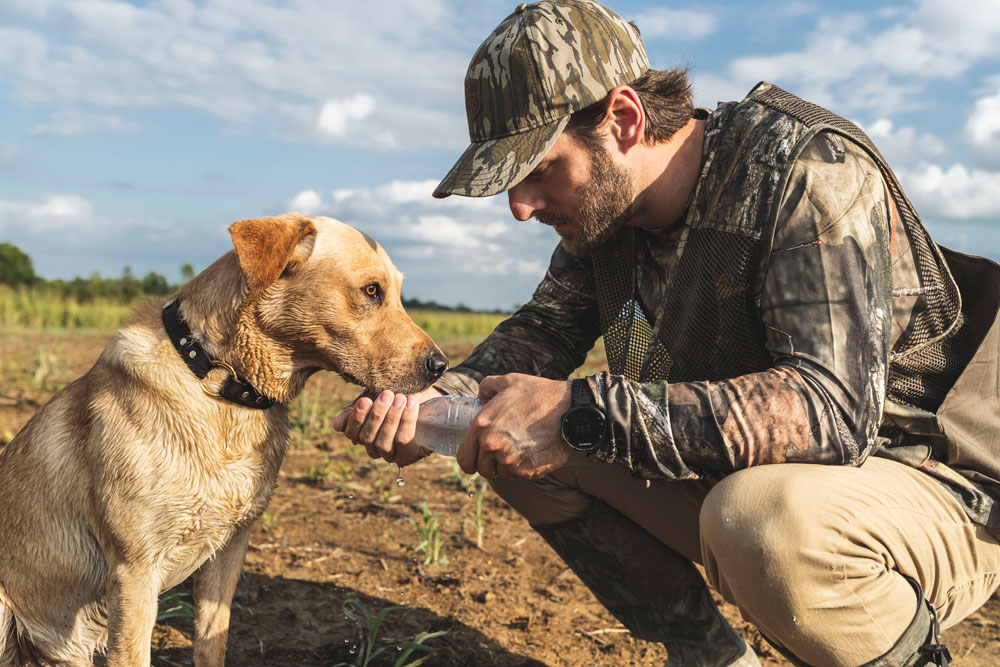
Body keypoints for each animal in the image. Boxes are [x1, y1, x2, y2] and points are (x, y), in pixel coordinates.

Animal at [0, 215, 448, 667]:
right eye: (371, 290)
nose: (440, 365)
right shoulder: (134, 570)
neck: (219, 385)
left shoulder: (228, 554)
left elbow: (212, 642)